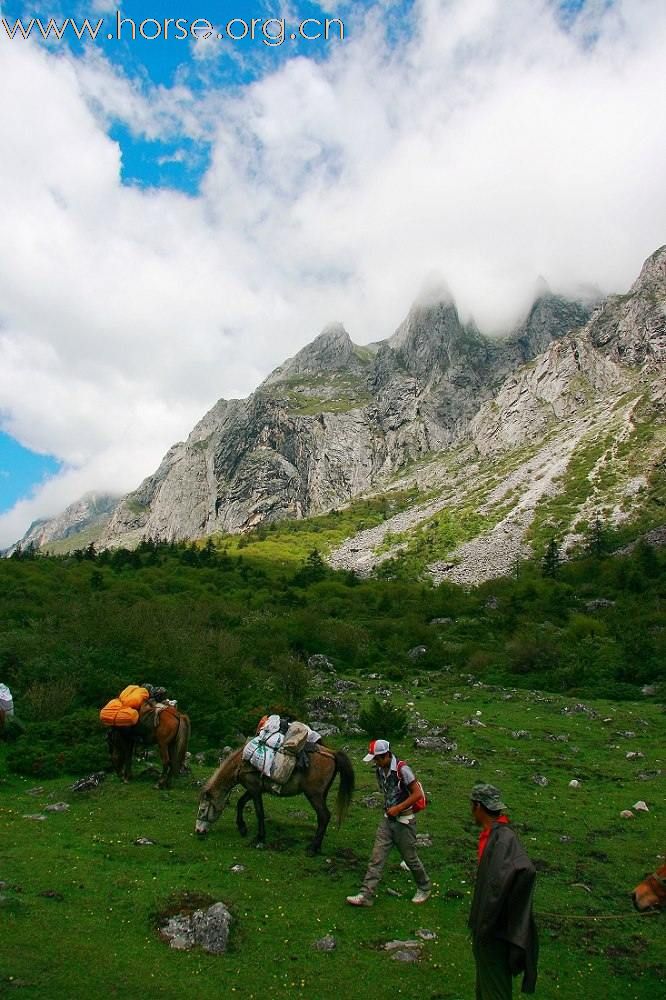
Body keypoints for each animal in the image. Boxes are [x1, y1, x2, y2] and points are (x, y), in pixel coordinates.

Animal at [195, 744, 356, 852]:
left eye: (202, 810)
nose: (198, 831)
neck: (241, 763)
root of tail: (332, 753)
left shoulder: (254, 789)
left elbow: (259, 812)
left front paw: (260, 838)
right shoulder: (255, 789)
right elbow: (241, 803)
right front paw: (242, 828)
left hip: (314, 794)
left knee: (324, 816)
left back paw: (312, 848)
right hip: (322, 794)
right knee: (323, 818)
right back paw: (318, 846)